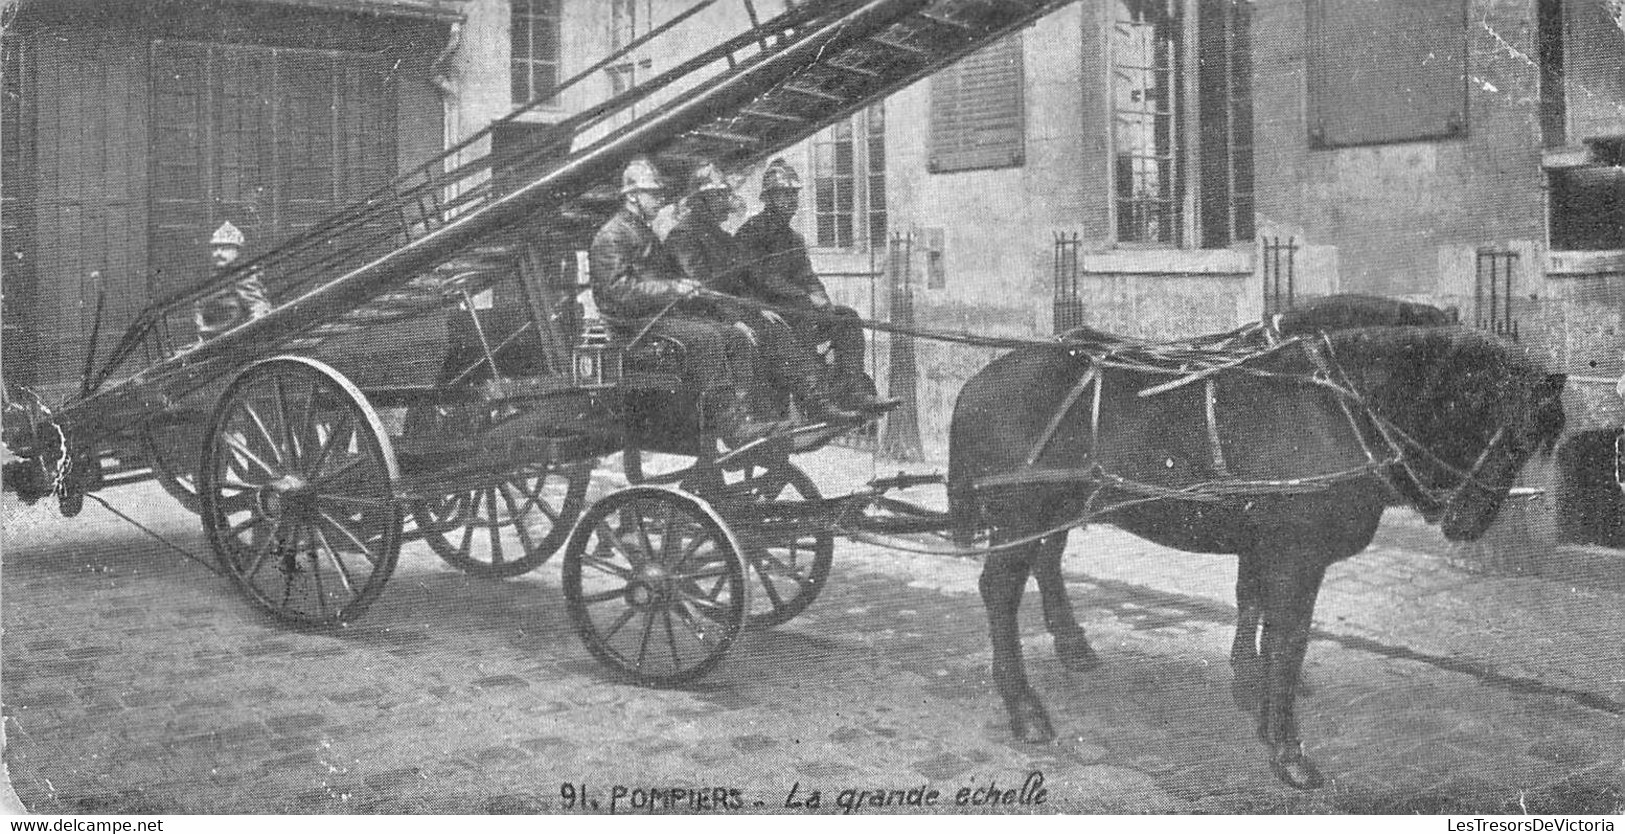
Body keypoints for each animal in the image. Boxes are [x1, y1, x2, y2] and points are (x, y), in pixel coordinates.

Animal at [949, 297, 1566, 786]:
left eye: (1537, 441)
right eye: (1508, 429)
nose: (1465, 522)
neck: (1338, 406)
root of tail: (979, 381)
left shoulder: (1264, 543)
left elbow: (1257, 610)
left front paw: (1256, 698)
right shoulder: (1297, 555)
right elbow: (1289, 638)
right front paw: (1286, 747)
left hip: (1057, 508)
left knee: (1045, 563)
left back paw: (1072, 650)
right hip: (1021, 515)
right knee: (1000, 592)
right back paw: (1025, 708)